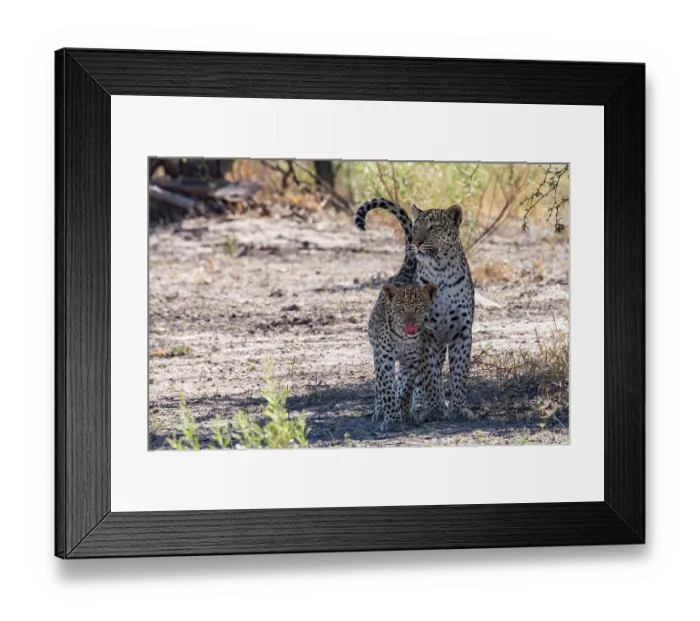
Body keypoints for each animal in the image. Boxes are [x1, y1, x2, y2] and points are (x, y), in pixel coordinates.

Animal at [368, 281, 439, 431]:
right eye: (401, 308)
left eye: (418, 307)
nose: (409, 323)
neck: (404, 338)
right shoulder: (384, 359)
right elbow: (387, 389)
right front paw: (392, 419)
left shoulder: (411, 362)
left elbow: (405, 389)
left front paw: (402, 412)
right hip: (376, 355)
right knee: (379, 386)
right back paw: (380, 410)